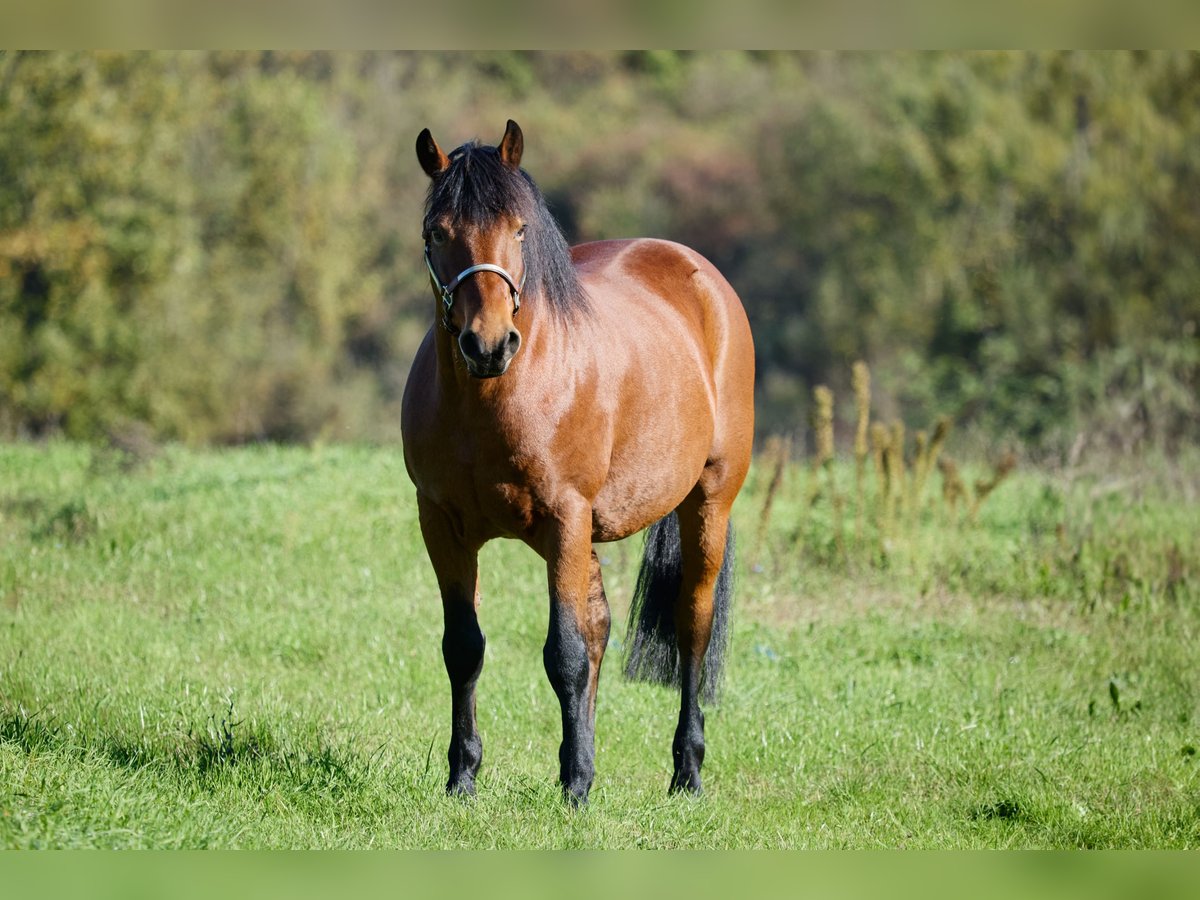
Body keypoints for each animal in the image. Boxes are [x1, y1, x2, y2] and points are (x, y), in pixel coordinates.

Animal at [408, 120, 753, 801]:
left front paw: (572, 789)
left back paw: (687, 772)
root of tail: (702, 277)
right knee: (599, 629)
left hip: (708, 504)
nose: (488, 345)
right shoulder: (442, 526)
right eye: (437, 232)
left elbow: (563, 653)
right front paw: (463, 778)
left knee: (691, 627)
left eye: (519, 228)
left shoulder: (566, 519)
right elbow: (464, 647)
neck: (492, 401)